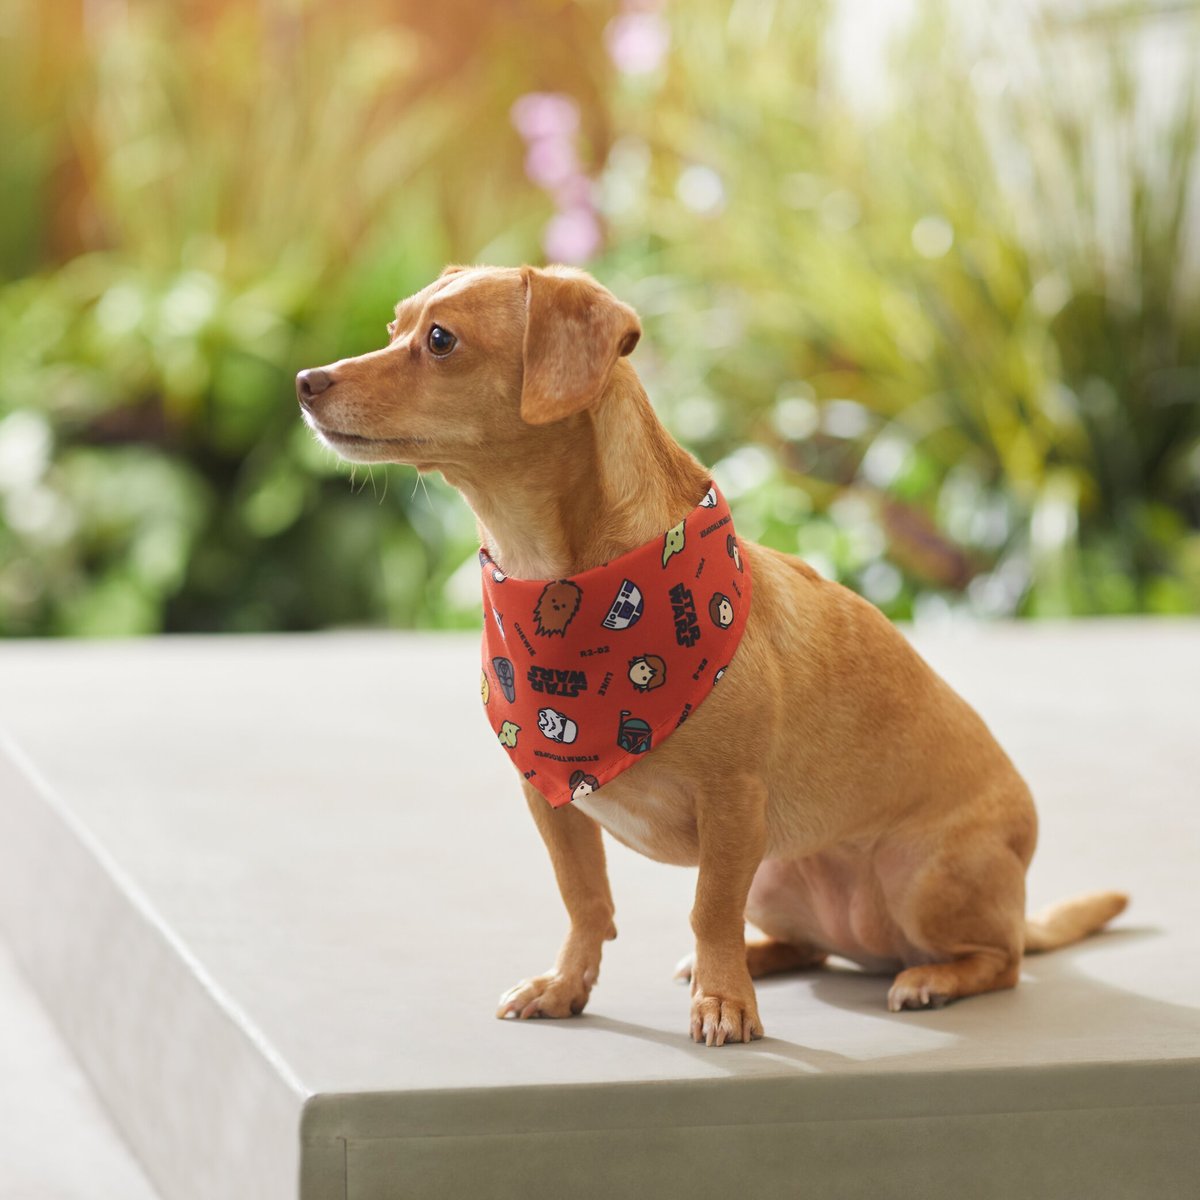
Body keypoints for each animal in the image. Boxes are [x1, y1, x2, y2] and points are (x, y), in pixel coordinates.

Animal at [295, 262, 1128, 1041]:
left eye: (440, 340)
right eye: (396, 326)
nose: (304, 381)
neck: (562, 586)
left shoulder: (733, 807)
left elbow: (708, 908)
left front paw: (725, 1002)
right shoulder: (554, 801)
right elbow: (586, 901)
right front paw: (568, 985)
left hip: (921, 879)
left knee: (1001, 961)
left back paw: (931, 977)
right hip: (780, 877)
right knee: (813, 947)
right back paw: (762, 957)